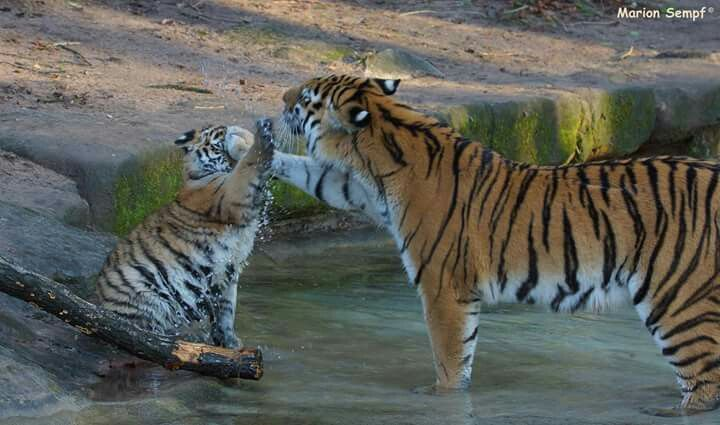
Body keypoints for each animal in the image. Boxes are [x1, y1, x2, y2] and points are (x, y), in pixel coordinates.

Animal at [96, 119, 274, 348]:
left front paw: (229, 341)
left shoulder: (229, 272)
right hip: (147, 294)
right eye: (218, 148)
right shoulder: (233, 193)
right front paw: (259, 136)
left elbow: (227, 309)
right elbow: (248, 164)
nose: (229, 132)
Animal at [270, 74, 720, 416]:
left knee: (705, 383)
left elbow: (450, 356)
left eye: (305, 99)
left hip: (678, 300)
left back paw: (666, 411)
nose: (281, 97)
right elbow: (317, 176)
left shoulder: (442, 285)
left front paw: (440, 398)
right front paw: (254, 148)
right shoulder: (359, 191)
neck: (386, 142)